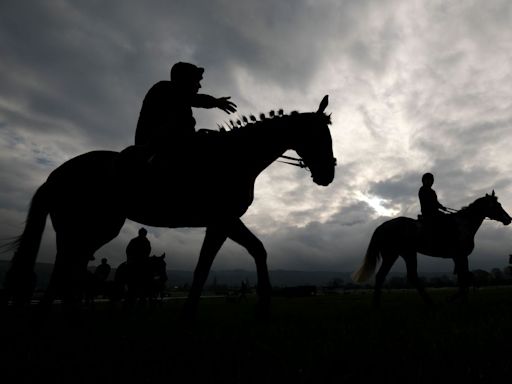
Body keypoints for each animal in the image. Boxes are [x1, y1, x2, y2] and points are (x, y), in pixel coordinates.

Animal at [3, 96, 336, 318]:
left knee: (69, 264)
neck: (234, 157)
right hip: (93, 226)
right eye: (320, 136)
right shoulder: (223, 220)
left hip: (87, 228)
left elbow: (243, 254)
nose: (328, 174)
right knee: (67, 265)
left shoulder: (223, 222)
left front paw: (260, 304)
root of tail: (56, 174)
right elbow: (214, 262)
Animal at [354, 192, 510, 306]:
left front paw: (463, 301)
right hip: (399, 254)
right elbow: (465, 278)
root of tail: (381, 227)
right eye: (497, 205)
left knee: (395, 276)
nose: (509, 219)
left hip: (401, 254)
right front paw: (454, 300)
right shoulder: (460, 256)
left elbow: (464, 278)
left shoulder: (459, 257)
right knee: (392, 276)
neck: (463, 225)